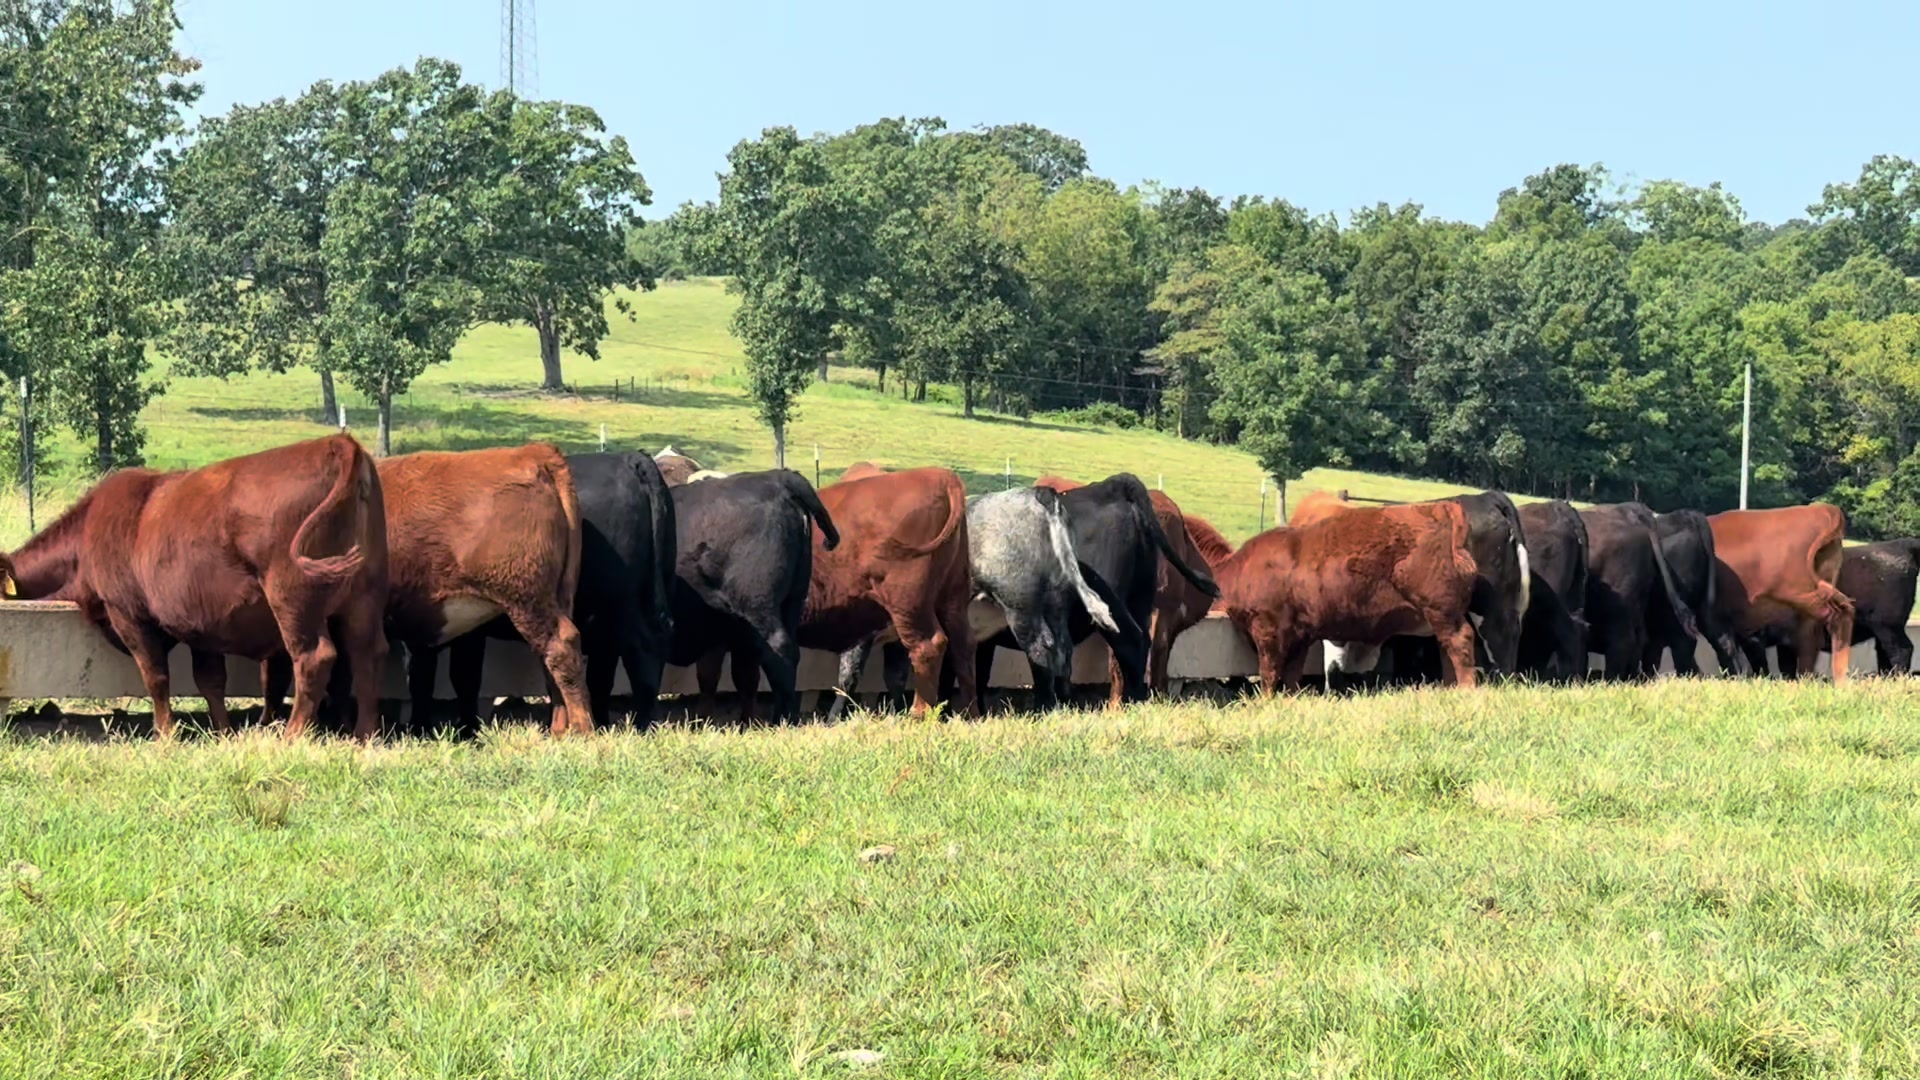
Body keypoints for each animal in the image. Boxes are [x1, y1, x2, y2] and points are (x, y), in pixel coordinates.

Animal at [3, 435, 388, 740]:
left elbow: (156, 676)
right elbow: (210, 680)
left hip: (293, 599)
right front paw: (223, 732)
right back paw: (364, 735)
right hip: (364, 597)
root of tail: (335, 443)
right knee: (366, 654)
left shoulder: (127, 614)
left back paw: (292, 735)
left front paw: (165, 734)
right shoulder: (204, 624)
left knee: (313, 658)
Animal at [436, 452, 678, 732]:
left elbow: (463, 676)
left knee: (642, 648)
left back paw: (641, 724)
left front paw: (466, 730)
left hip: (619, 600)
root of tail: (629, 458)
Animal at [670, 469, 840, 723]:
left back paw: (781, 718)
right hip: (785, 603)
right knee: (753, 668)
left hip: (757, 605)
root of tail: (778, 477)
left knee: (778, 650)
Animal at [803, 467, 978, 717]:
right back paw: (971, 714)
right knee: (963, 646)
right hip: (954, 597)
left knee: (928, 646)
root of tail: (937, 474)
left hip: (908, 603)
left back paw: (918, 714)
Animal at [1214, 502, 1480, 692]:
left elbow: (1269, 672)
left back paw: (1466, 689)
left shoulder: (1267, 629)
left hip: (1442, 612)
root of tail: (1441, 509)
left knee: (1460, 642)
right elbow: (1291, 674)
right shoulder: (1300, 635)